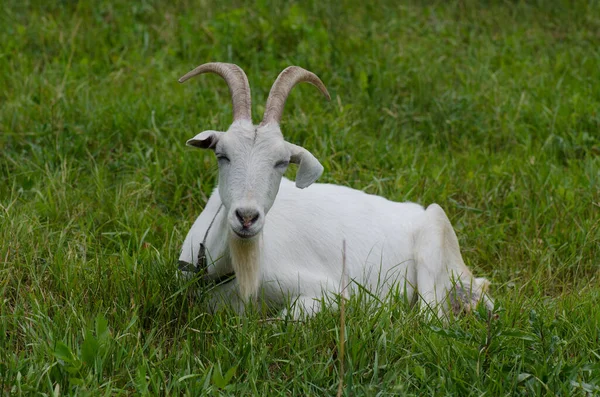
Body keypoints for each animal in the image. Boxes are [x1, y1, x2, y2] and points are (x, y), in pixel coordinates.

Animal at [177, 62, 492, 318]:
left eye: (282, 162)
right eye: (222, 154)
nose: (246, 217)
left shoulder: (329, 292)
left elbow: (288, 317)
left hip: (435, 237)